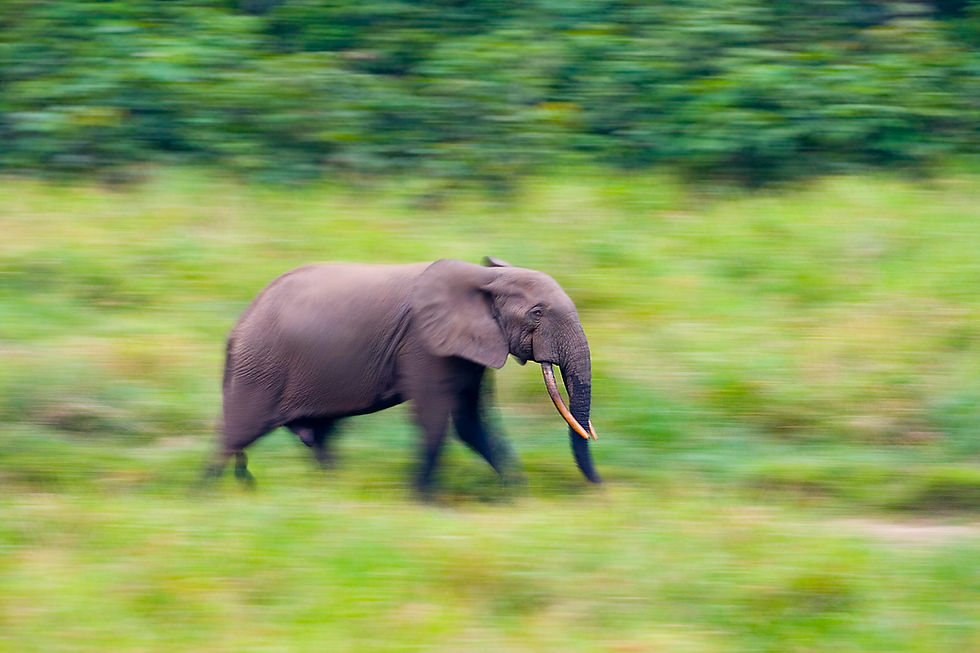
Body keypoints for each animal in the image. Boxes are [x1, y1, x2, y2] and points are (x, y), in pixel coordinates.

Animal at [206, 256, 600, 494]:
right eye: (537, 313)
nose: (600, 489)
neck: (486, 276)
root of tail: (236, 329)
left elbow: (470, 422)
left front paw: (515, 494)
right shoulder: (424, 344)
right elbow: (434, 418)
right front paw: (426, 502)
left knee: (320, 437)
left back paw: (333, 489)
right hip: (260, 368)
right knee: (236, 435)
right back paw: (206, 495)